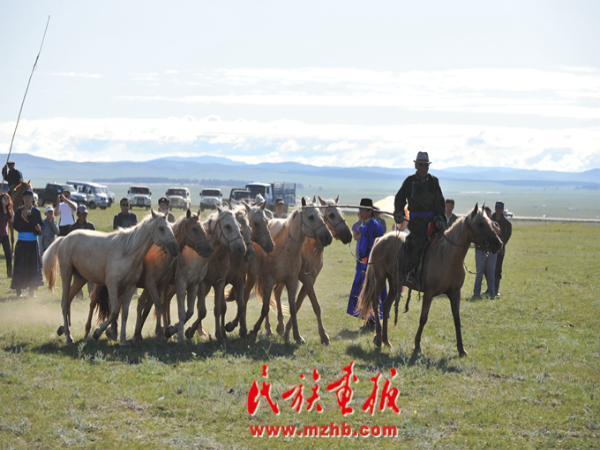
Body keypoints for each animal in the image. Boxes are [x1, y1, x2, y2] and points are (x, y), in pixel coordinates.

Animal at [43, 210, 180, 346]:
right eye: (161, 228)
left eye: (171, 227)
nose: (175, 249)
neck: (127, 253)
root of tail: (64, 238)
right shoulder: (112, 284)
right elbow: (114, 311)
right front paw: (98, 332)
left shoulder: (130, 287)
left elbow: (124, 313)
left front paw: (123, 340)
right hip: (66, 274)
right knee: (65, 302)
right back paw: (68, 336)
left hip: (80, 279)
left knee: (69, 300)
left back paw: (65, 330)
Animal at [246, 197, 333, 344]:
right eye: (311, 217)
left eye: (322, 217)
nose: (328, 237)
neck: (286, 251)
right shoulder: (269, 281)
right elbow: (265, 308)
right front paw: (254, 331)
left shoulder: (292, 282)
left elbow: (293, 308)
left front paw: (297, 336)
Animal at [270, 195, 352, 345]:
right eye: (331, 214)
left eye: (342, 213)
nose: (348, 235)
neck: (309, 249)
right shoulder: (304, 278)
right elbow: (309, 305)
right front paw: (322, 335)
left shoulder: (310, 279)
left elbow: (301, 304)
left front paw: (289, 333)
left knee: (277, 292)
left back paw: (280, 326)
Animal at [357, 203, 503, 357]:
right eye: (480, 223)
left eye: (492, 223)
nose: (498, 244)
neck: (447, 255)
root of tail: (381, 239)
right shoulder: (429, 293)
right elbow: (423, 318)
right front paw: (417, 346)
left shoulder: (455, 293)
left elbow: (457, 320)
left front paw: (461, 350)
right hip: (380, 278)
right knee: (375, 303)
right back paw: (378, 339)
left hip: (394, 283)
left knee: (386, 306)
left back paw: (386, 341)